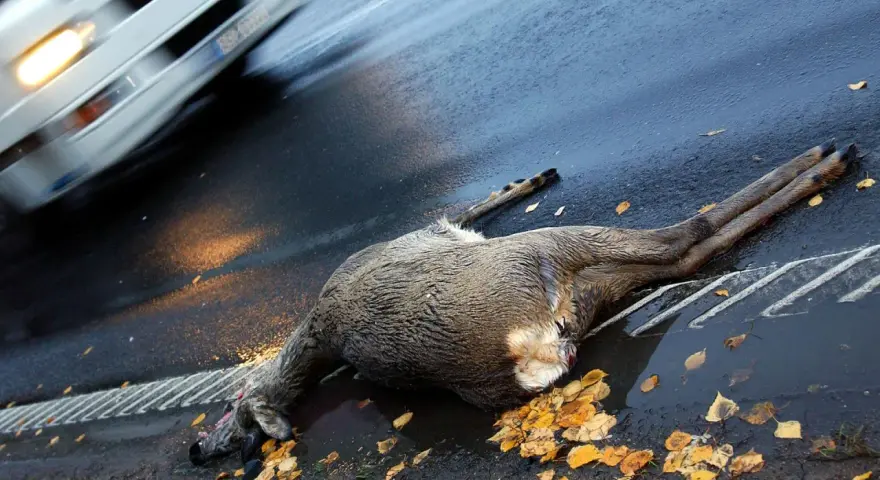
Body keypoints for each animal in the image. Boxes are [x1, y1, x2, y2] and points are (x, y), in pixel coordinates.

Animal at [190, 140, 855, 465]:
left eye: (234, 417)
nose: (197, 451)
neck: (313, 332)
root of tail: (522, 354)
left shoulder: (436, 232)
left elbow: (471, 206)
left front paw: (532, 177)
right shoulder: (438, 232)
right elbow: (470, 207)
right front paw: (532, 178)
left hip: (585, 294)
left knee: (680, 258)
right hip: (548, 253)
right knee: (683, 235)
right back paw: (825, 160)